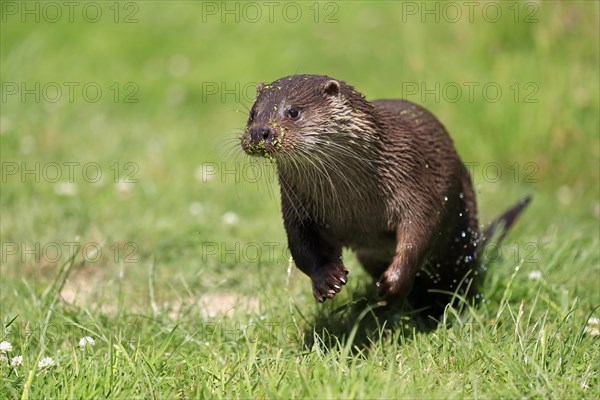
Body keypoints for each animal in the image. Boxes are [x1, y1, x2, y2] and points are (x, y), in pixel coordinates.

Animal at [239, 75, 528, 318]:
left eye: (293, 111)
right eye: (253, 114)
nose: (260, 132)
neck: (354, 199)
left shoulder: (416, 185)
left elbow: (420, 233)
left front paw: (393, 283)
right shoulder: (298, 206)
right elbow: (301, 246)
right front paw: (327, 279)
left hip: (460, 234)